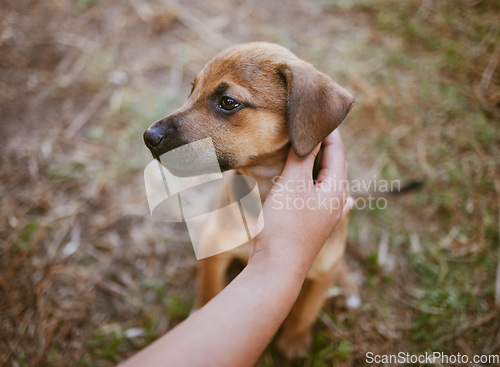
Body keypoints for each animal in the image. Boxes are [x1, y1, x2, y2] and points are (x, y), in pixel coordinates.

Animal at [143, 42, 358, 360]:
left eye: (228, 102)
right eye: (192, 90)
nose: (149, 137)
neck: (262, 186)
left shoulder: (323, 271)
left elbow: (306, 309)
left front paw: (294, 340)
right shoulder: (216, 248)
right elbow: (209, 290)